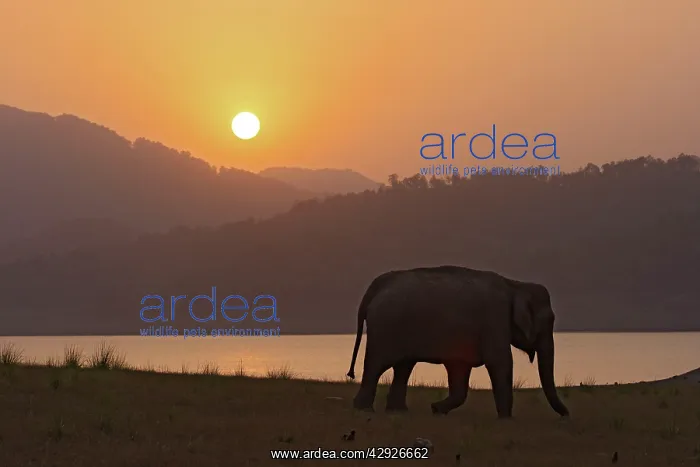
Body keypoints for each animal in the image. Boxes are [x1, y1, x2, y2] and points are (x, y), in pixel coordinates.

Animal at [346, 266, 569, 418]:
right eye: (549, 320)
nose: (567, 415)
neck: (514, 285)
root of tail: (375, 287)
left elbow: (460, 371)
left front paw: (436, 409)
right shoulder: (494, 321)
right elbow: (500, 362)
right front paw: (507, 419)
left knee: (403, 367)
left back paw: (397, 411)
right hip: (385, 327)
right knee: (377, 365)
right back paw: (364, 409)